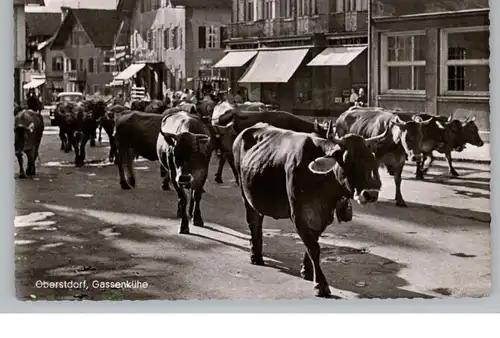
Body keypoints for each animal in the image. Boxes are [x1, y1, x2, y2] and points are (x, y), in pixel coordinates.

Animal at [233, 123, 382, 298]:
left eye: (372, 160)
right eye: (348, 161)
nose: (370, 193)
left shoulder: (323, 216)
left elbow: (312, 243)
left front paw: (307, 271)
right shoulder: (298, 215)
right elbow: (314, 248)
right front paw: (320, 284)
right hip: (245, 194)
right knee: (254, 222)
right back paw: (255, 256)